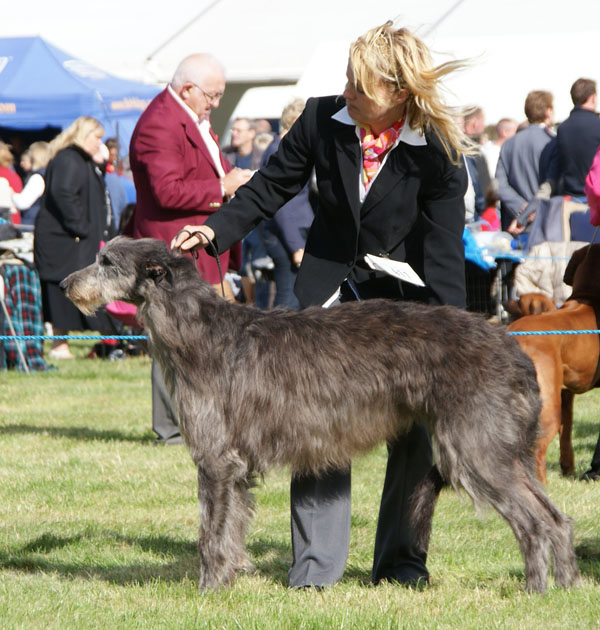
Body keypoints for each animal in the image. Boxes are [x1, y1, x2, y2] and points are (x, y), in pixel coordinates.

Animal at [59, 238, 576, 596]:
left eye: (108, 262)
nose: (65, 284)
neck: (198, 332)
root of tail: (511, 345)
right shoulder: (235, 469)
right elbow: (231, 531)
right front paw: (226, 584)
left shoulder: (215, 460)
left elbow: (210, 532)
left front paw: (205, 592)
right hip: (501, 449)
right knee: (557, 517)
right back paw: (567, 586)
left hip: (474, 448)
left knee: (533, 523)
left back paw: (534, 590)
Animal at [506, 244, 600, 486]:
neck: (587, 298)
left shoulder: (566, 395)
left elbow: (566, 434)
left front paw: (568, 470)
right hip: (546, 406)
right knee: (536, 449)